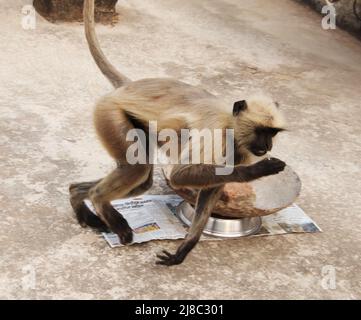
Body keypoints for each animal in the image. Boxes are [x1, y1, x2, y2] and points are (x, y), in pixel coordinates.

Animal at [69, 0, 286, 264]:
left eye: (273, 133)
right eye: (261, 131)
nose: (268, 146)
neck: (231, 125)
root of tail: (127, 86)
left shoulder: (240, 151)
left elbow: (211, 189)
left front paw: (183, 249)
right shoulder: (215, 132)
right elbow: (181, 174)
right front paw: (259, 170)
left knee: (141, 181)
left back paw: (78, 194)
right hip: (109, 113)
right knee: (137, 169)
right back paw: (98, 198)